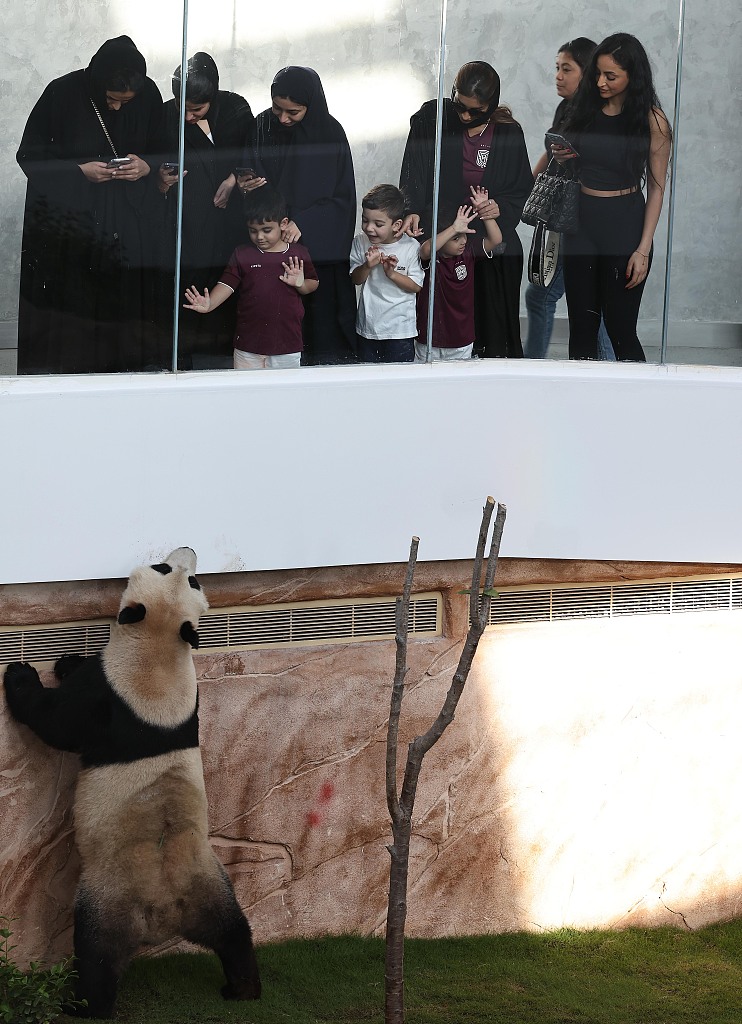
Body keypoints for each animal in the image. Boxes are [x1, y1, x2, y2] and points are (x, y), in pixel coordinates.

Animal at [3, 544, 260, 1015]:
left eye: (163, 567)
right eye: (183, 575)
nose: (189, 551)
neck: (161, 648)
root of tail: (165, 912)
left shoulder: (109, 695)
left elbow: (56, 723)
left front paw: (22, 673)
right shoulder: (189, 700)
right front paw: (66, 661)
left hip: (108, 898)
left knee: (97, 957)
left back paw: (82, 1007)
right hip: (212, 886)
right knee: (234, 934)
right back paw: (242, 988)